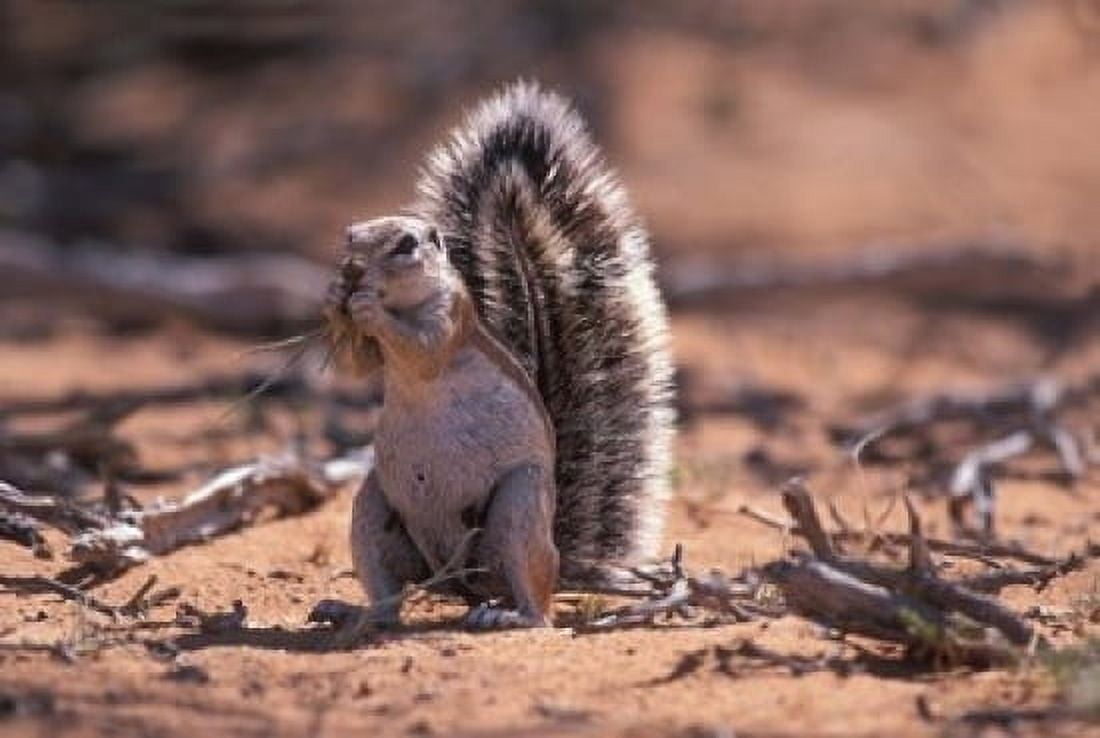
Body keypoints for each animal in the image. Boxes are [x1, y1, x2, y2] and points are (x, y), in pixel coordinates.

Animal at [323, 82, 674, 632]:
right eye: (350, 235)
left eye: (406, 245)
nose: (353, 270)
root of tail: (464, 584)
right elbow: (357, 366)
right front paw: (336, 296)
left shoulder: (450, 322)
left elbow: (422, 349)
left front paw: (366, 306)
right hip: (373, 506)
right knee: (389, 598)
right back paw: (355, 613)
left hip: (518, 505)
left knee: (540, 609)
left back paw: (509, 617)